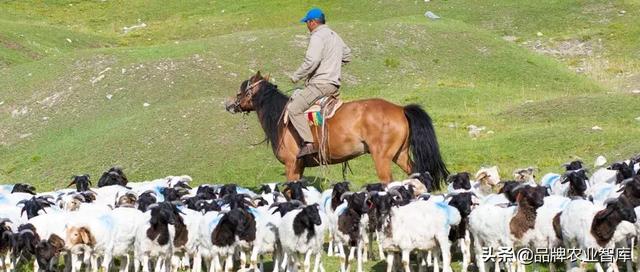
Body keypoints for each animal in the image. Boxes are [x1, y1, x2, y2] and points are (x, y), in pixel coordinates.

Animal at [226, 71, 450, 188]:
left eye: (242, 89)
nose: (229, 105)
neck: (281, 119)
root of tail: (401, 109)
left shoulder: (291, 164)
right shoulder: (299, 167)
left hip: (382, 157)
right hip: (400, 154)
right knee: (416, 173)